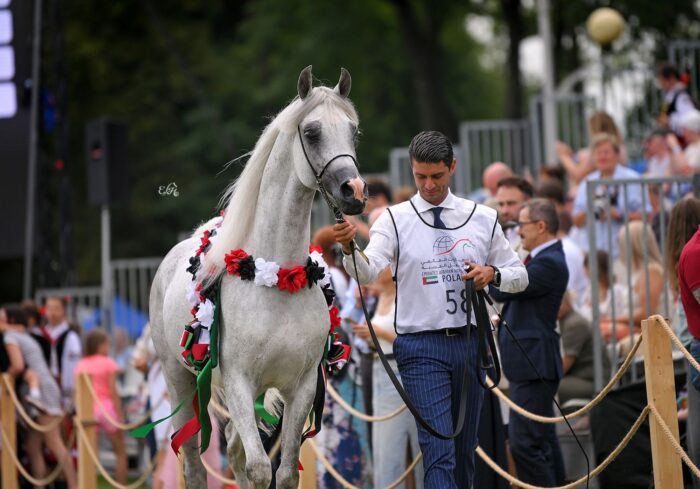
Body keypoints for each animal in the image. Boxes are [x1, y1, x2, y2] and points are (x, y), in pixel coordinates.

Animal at [149, 66, 366, 489]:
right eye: (311, 131)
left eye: (353, 131)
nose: (355, 191)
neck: (278, 279)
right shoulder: (238, 381)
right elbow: (259, 468)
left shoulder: (301, 387)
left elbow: (284, 472)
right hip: (179, 381)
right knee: (196, 464)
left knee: (233, 450)